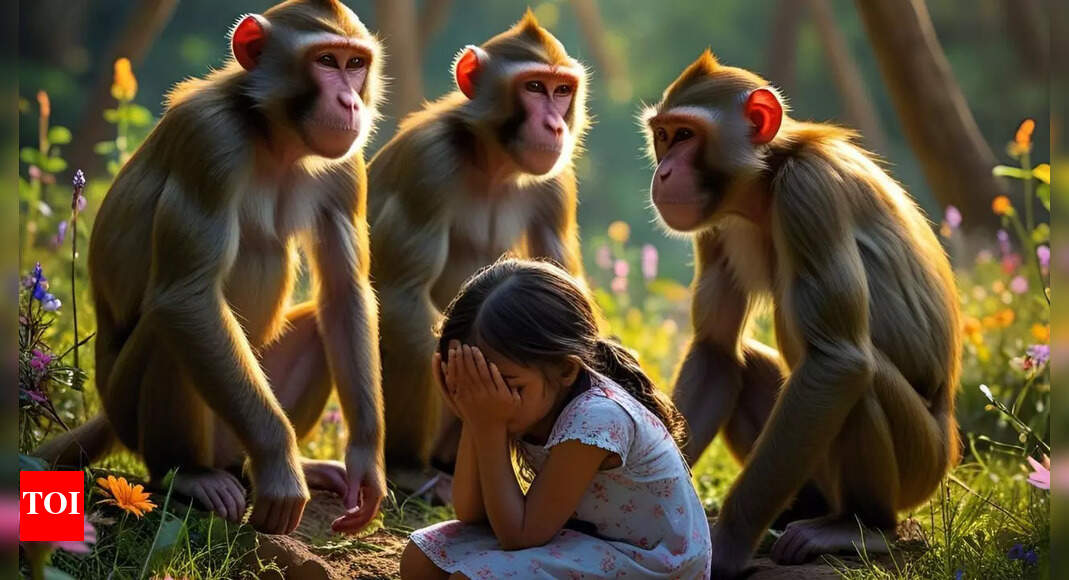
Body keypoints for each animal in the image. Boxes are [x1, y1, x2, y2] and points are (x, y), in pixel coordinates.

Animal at [35, 0, 386, 535]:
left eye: (356, 64)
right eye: (326, 61)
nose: (350, 103)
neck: (273, 134)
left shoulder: (346, 166)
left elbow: (345, 293)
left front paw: (366, 464)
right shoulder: (209, 141)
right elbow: (189, 297)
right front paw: (281, 468)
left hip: (234, 427)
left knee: (319, 324)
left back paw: (275, 465)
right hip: (133, 409)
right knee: (170, 330)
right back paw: (191, 474)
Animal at [367, 10, 589, 489]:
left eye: (562, 90)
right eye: (534, 86)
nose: (555, 126)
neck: (494, 162)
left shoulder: (557, 182)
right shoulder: (429, 164)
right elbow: (401, 294)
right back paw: (410, 465)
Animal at [640, 51, 961, 574]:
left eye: (685, 135)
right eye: (663, 136)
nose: (663, 173)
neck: (765, 181)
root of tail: (949, 439)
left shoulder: (809, 191)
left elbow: (837, 360)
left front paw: (725, 545)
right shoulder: (715, 223)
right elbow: (716, 349)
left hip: (922, 464)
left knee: (857, 379)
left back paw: (864, 527)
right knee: (746, 362)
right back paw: (798, 511)